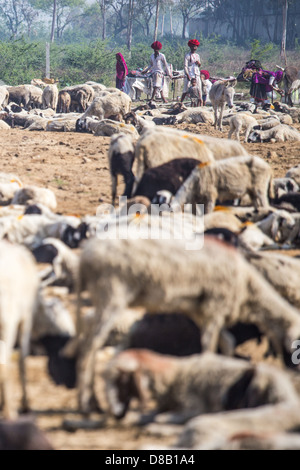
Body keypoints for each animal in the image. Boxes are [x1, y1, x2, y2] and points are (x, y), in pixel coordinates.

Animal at [75, 237, 300, 410]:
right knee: (90, 345)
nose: (295, 372)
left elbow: (226, 342)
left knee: (89, 336)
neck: (249, 289)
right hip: (112, 294)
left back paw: (93, 401)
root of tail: (85, 257)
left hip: (102, 298)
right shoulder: (215, 307)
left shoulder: (202, 312)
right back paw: (86, 404)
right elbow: (210, 346)